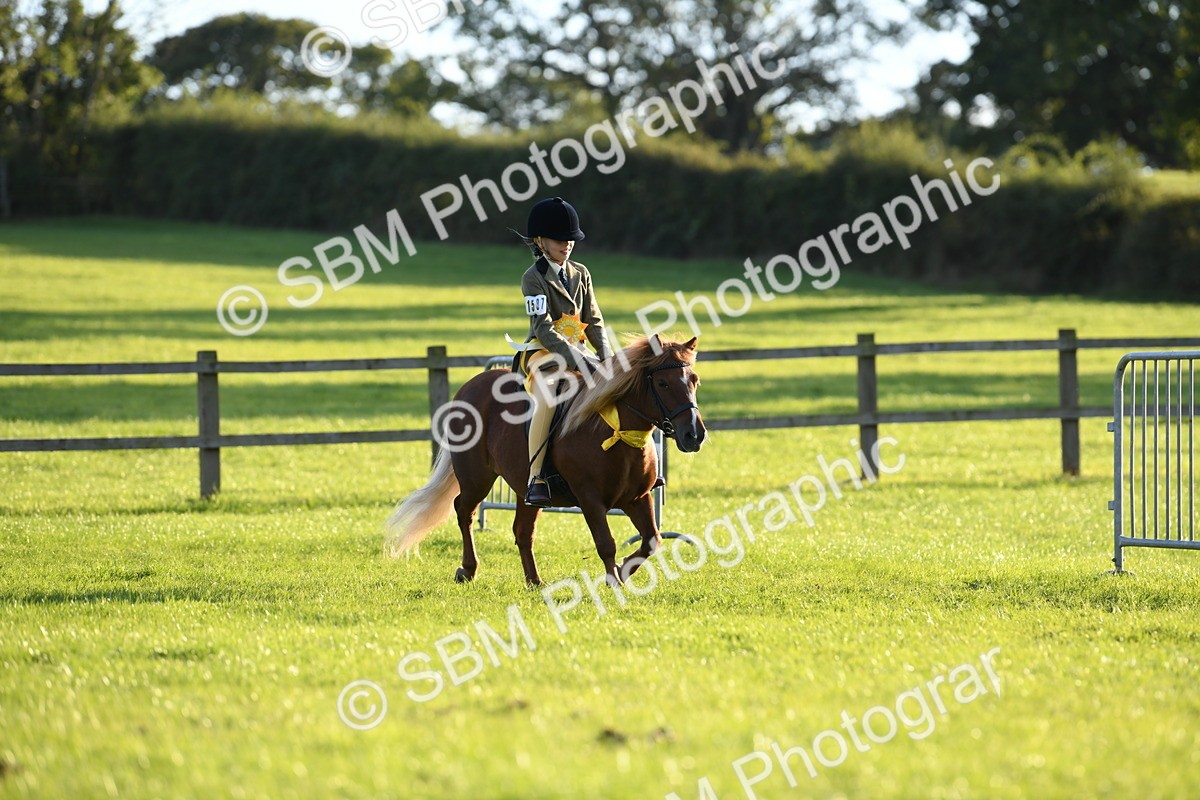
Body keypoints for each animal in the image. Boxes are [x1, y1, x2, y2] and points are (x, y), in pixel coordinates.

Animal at [384, 334, 706, 586]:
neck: (616, 431)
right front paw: (614, 581)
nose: (694, 434)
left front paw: (622, 572)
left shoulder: (637, 498)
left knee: (522, 531)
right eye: (662, 383)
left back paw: (534, 581)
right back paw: (469, 569)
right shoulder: (590, 500)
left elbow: (652, 541)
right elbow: (606, 544)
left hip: (524, 491)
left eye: (694, 380)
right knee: (464, 511)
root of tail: (471, 386)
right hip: (476, 477)